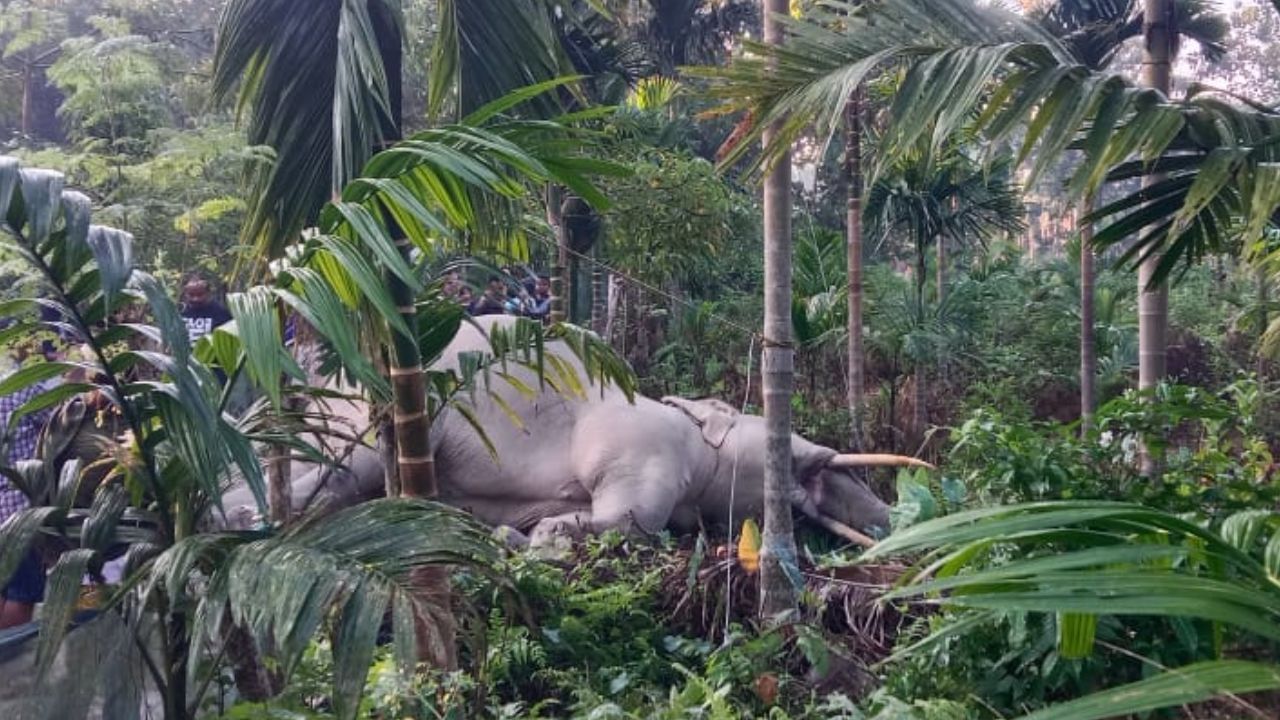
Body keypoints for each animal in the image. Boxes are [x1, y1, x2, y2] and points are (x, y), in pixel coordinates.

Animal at [222, 313, 931, 543]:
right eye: (789, 458)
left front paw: (528, 531)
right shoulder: (641, 447)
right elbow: (630, 516)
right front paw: (538, 537)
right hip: (373, 414)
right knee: (346, 469)